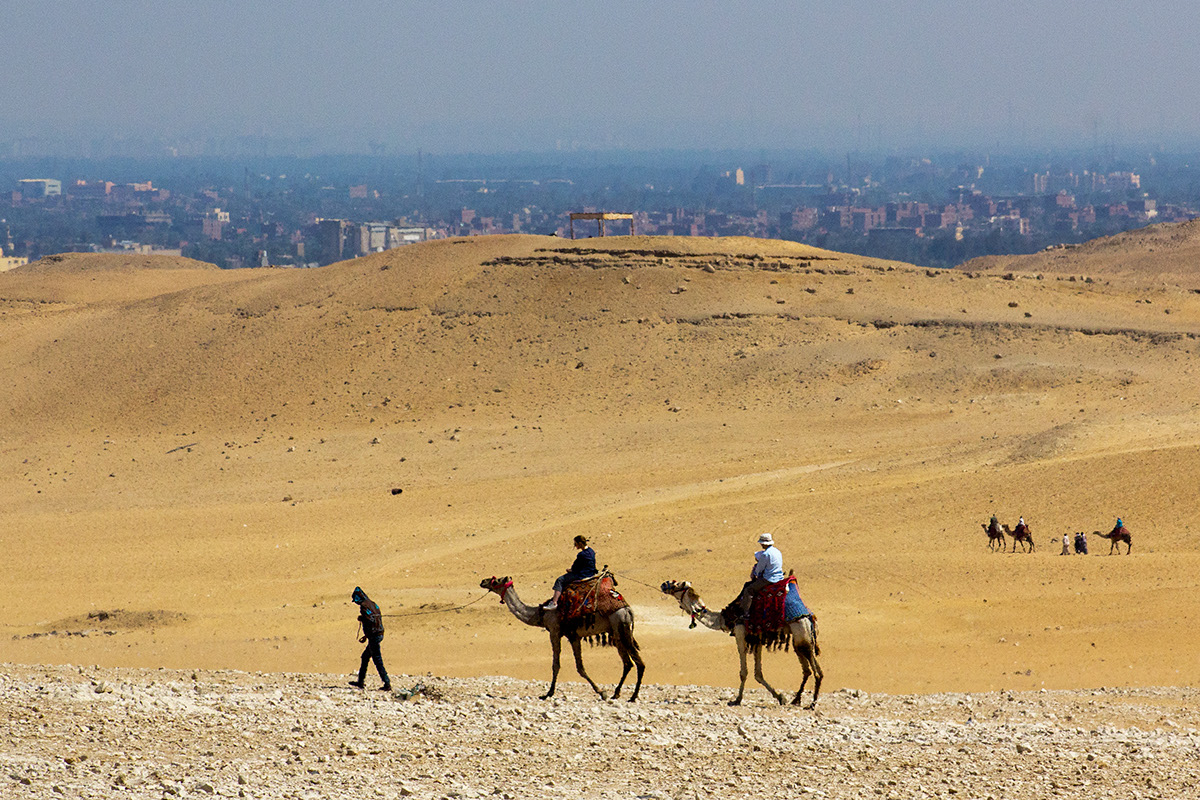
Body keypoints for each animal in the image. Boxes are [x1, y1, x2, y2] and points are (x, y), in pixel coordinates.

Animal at [480, 575, 648, 700]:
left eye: (497, 580)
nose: (483, 581)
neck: (540, 614)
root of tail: (628, 610)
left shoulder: (555, 631)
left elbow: (556, 664)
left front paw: (548, 693)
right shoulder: (574, 636)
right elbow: (580, 667)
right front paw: (602, 692)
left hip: (621, 627)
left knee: (639, 663)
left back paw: (633, 696)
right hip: (617, 634)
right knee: (627, 663)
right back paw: (616, 693)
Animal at [657, 582, 825, 705]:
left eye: (677, 585)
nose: (664, 585)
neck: (724, 618)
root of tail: (810, 616)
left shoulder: (740, 634)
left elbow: (744, 672)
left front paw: (737, 700)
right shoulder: (757, 640)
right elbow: (758, 673)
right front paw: (780, 697)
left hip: (801, 632)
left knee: (814, 669)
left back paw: (812, 703)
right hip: (800, 638)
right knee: (808, 670)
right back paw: (796, 699)